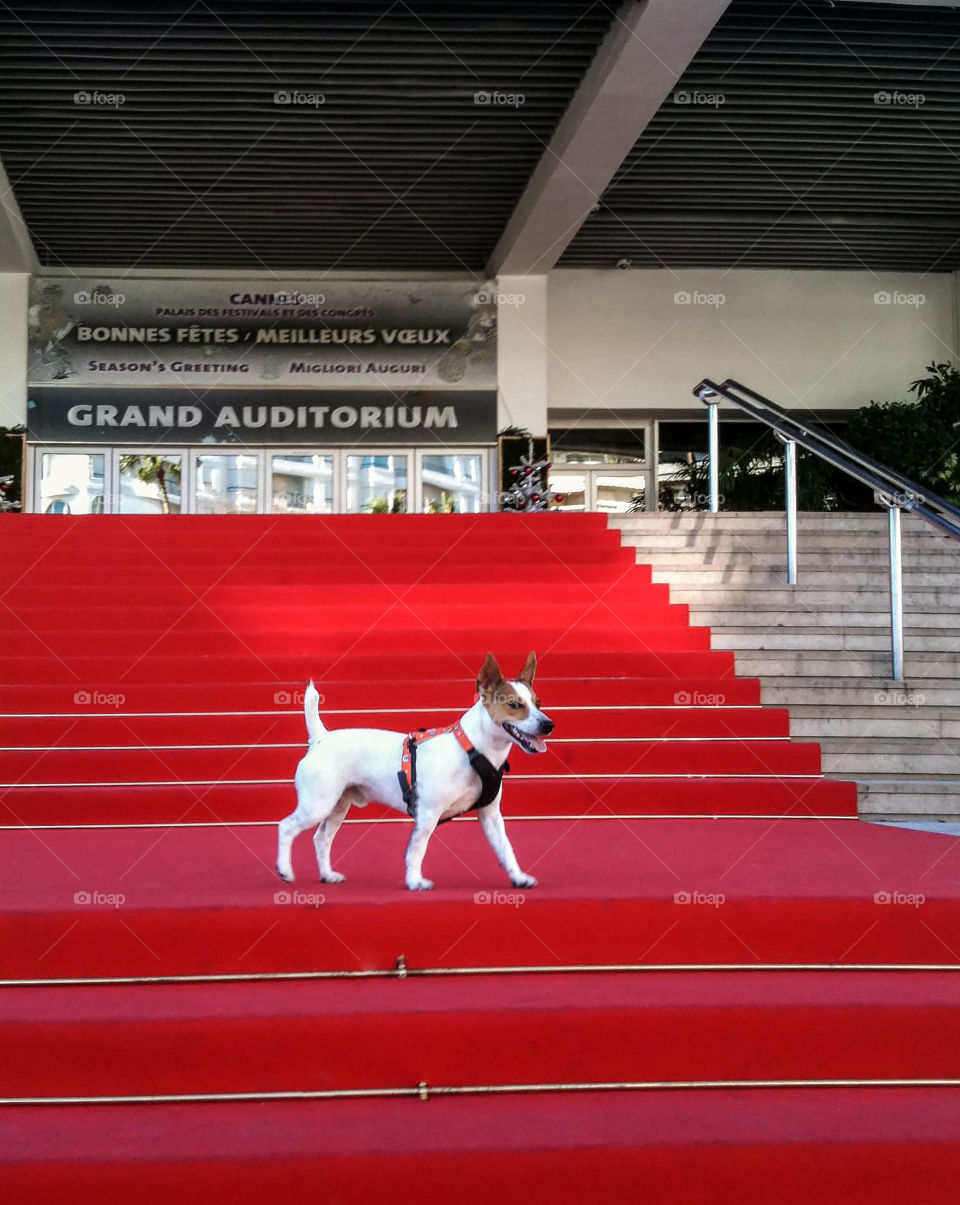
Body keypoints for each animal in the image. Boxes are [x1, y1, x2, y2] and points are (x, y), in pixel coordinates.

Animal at [273, 650, 551, 896]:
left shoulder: (491, 816)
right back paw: (285, 869)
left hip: (338, 806)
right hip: (317, 805)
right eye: (515, 705)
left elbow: (506, 849)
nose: (548, 724)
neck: (471, 750)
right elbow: (418, 848)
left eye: (538, 703)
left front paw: (518, 877)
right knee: (286, 827)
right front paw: (415, 881)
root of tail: (321, 738)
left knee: (321, 839)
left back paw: (327, 875)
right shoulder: (427, 815)